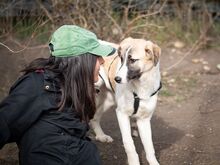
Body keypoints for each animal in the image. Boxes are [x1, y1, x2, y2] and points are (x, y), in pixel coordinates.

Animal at [90, 37, 162, 165]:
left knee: (94, 118)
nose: (116, 79)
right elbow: (129, 143)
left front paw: (153, 162)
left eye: (132, 60)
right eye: (122, 59)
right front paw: (133, 161)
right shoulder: (121, 114)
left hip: (108, 101)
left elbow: (149, 147)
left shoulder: (144, 120)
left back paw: (101, 136)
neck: (140, 88)